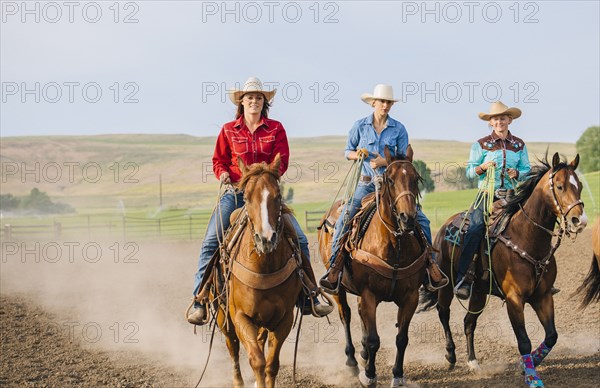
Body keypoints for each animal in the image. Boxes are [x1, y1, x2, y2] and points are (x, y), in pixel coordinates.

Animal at [210, 155, 304, 388]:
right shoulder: (240, 317)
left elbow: (271, 364)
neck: (265, 266)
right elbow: (257, 361)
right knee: (232, 347)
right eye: (245, 196)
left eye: (278, 196)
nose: (266, 238)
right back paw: (238, 381)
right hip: (223, 316)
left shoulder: (284, 319)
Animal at [316, 145, 428, 384]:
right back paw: (352, 361)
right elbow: (374, 339)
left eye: (415, 178)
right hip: (338, 288)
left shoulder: (410, 296)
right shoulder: (368, 294)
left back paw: (363, 354)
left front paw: (397, 375)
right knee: (346, 316)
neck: (394, 244)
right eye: (390, 180)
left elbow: (401, 338)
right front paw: (369, 375)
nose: (407, 218)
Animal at [420, 153, 588, 386]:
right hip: (446, 284)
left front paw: (526, 365)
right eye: (560, 186)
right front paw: (532, 378)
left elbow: (551, 336)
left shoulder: (543, 296)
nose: (579, 220)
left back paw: (473, 362)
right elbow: (524, 340)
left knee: (468, 322)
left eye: (579, 185)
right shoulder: (514, 299)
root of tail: (446, 226)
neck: (526, 238)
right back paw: (451, 355)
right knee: (443, 312)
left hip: (479, 292)